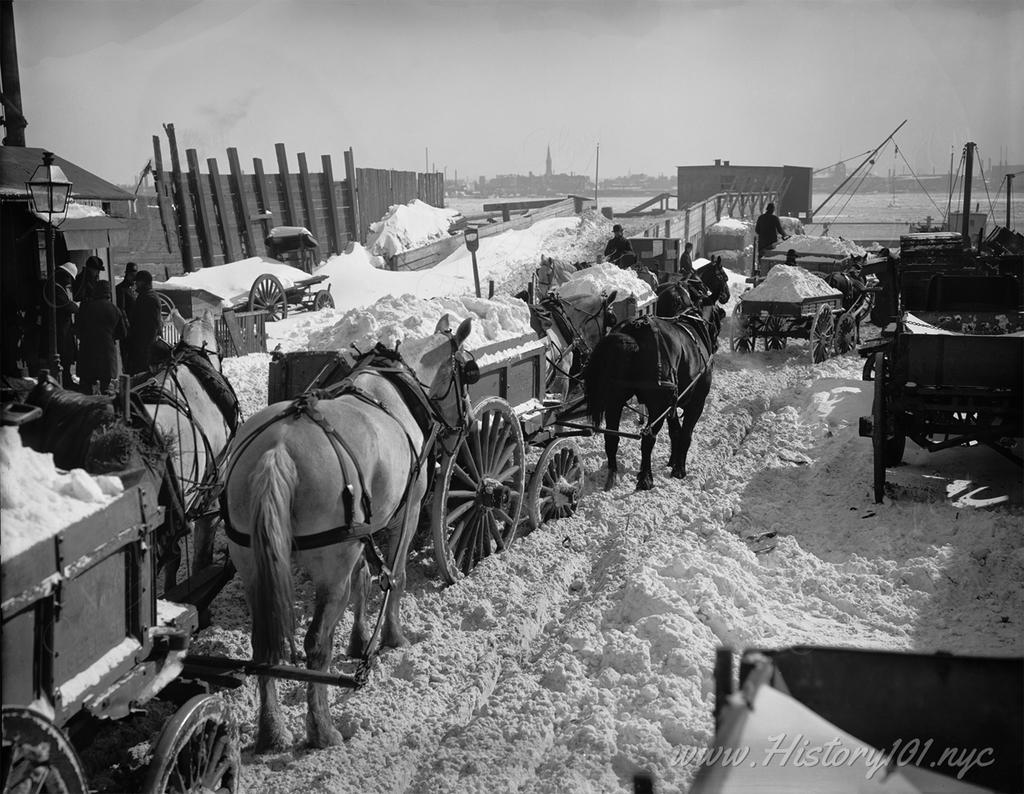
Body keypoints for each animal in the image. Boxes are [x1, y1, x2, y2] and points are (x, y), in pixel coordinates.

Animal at [224, 313, 471, 749]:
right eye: (467, 370)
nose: (467, 423)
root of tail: (277, 451)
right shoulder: (405, 513)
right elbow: (395, 578)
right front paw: (391, 637)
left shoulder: (361, 533)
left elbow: (365, 579)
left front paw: (358, 641)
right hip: (330, 565)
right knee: (316, 645)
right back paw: (321, 729)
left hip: (253, 561)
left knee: (263, 646)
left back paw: (272, 730)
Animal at [585, 303, 729, 489]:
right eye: (718, 318)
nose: (717, 344)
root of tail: (635, 329)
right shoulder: (696, 403)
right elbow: (685, 434)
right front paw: (679, 469)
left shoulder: (671, 404)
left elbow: (675, 432)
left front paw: (672, 461)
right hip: (657, 405)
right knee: (648, 437)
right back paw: (646, 478)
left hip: (615, 400)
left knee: (611, 437)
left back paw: (613, 475)